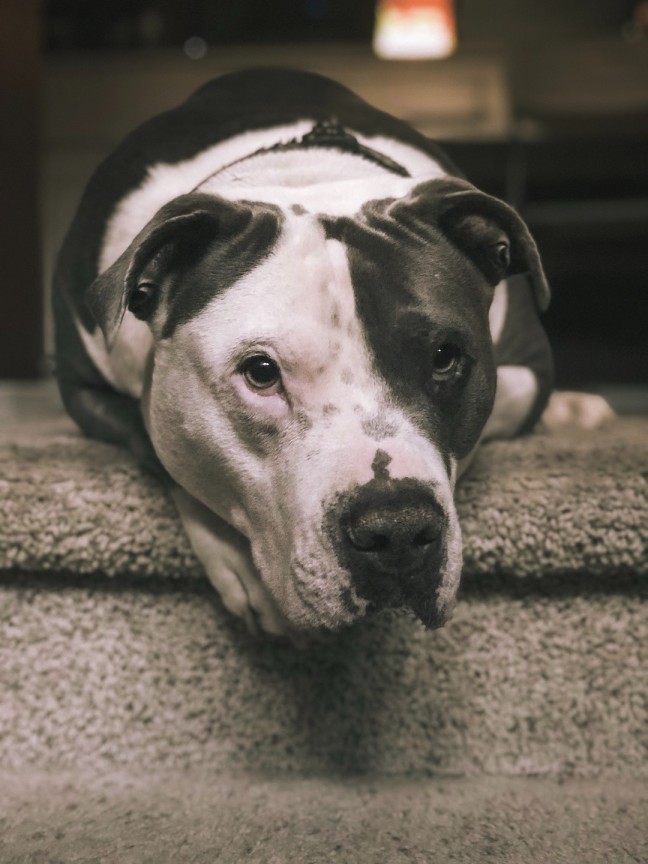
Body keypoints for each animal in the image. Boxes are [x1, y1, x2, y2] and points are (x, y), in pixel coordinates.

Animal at [53, 69, 556, 636]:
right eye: (261, 372)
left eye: (445, 357)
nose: (398, 531)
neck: (307, 174)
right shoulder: (81, 387)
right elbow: (151, 439)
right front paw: (235, 558)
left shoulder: (532, 368)